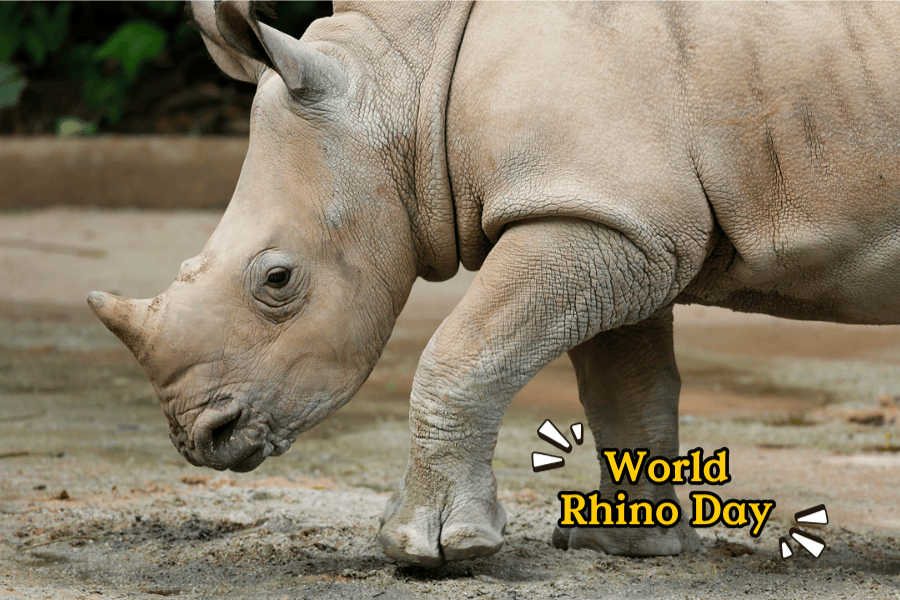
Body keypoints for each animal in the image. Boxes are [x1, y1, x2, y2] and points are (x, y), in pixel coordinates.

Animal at [88, 0, 900, 566]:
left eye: (278, 280)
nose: (201, 438)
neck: (408, 83)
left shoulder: (594, 216)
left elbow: (464, 354)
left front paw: (430, 550)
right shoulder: (619, 216)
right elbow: (627, 387)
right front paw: (626, 547)